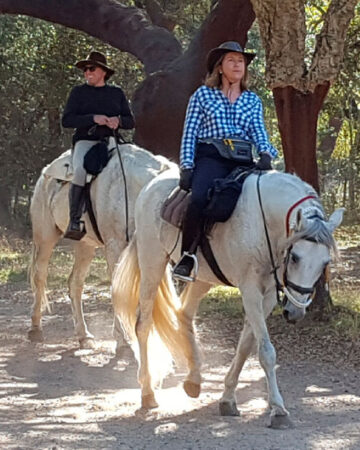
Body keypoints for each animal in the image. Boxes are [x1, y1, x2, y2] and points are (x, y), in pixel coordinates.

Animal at [28, 144, 174, 348]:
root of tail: (45, 173)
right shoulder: (115, 246)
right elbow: (118, 289)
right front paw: (123, 340)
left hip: (85, 246)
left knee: (75, 283)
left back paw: (84, 335)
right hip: (45, 238)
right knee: (39, 276)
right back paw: (36, 329)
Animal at [112, 167, 344, 428]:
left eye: (325, 262)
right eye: (295, 257)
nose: (294, 313)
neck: (263, 223)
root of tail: (150, 186)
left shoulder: (267, 296)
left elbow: (245, 347)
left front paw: (227, 399)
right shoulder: (250, 290)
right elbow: (266, 352)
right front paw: (278, 410)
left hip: (202, 279)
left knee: (184, 315)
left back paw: (193, 379)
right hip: (152, 263)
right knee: (143, 324)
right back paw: (147, 392)